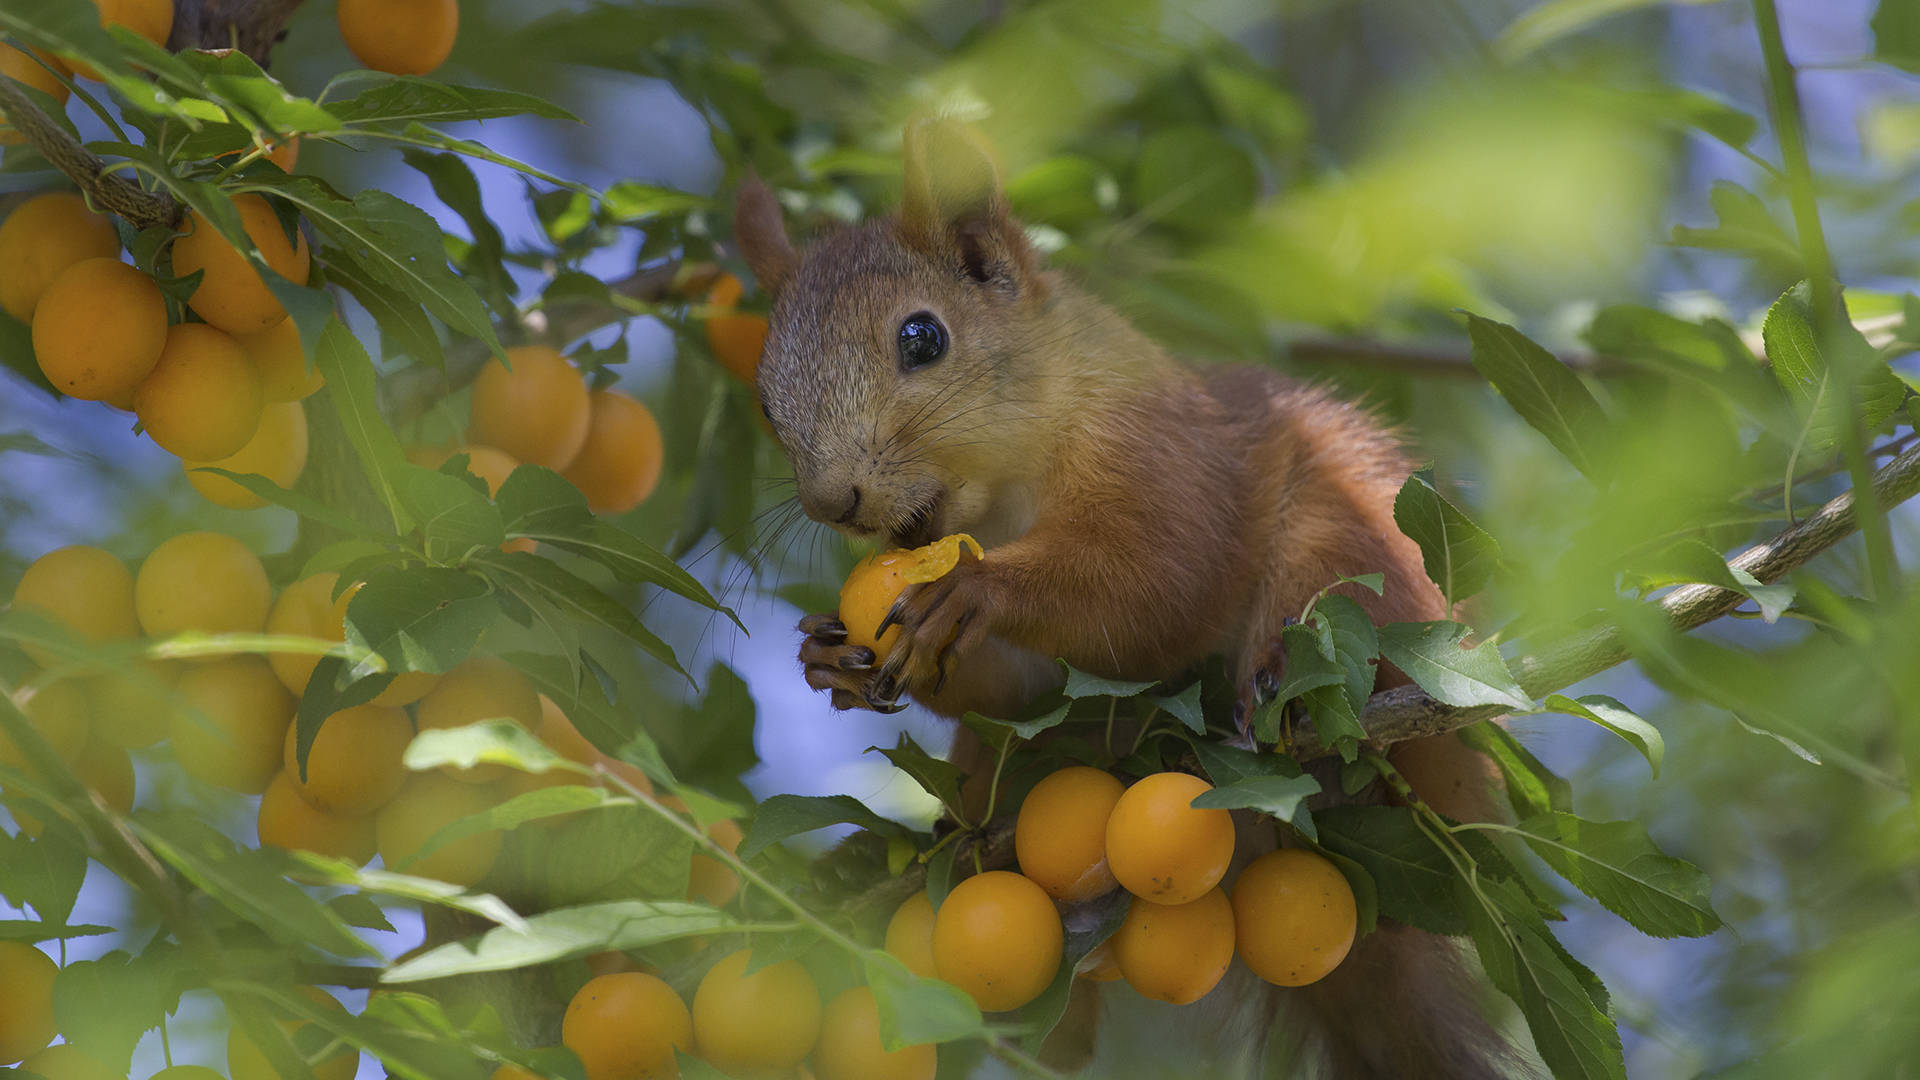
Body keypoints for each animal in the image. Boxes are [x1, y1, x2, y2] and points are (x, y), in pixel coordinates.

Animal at [733, 119, 1528, 1076]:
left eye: (923, 338)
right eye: (764, 402)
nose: (832, 500)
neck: (1007, 494)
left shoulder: (1163, 454)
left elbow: (1160, 581)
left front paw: (976, 589)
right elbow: (1023, 688)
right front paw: (832, 660)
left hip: (1352, 557)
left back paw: (1299, 705)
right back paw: (887, 861)